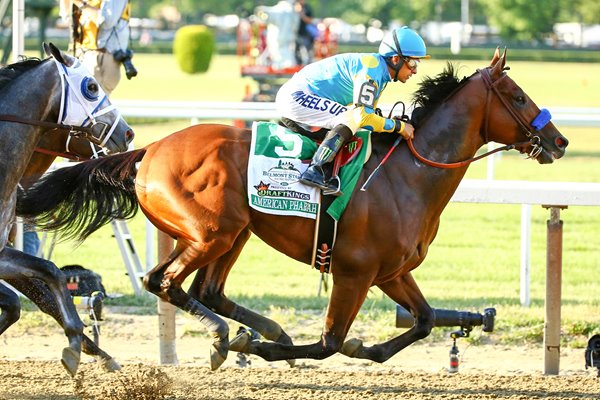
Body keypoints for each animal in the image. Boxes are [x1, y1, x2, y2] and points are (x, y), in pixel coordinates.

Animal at [18, 49, 568, 368]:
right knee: (164, 282)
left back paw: (255, 331)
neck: (409, 175)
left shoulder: (390, 271)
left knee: (207, 291)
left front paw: (367, 348)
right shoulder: (353, 271)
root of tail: (148, 150)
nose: (559, 141)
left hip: (235, 231)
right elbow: (329, 341)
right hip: (210, 232)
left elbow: (426, 319)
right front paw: (273, 351)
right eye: (519, 95)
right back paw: (229, 338)